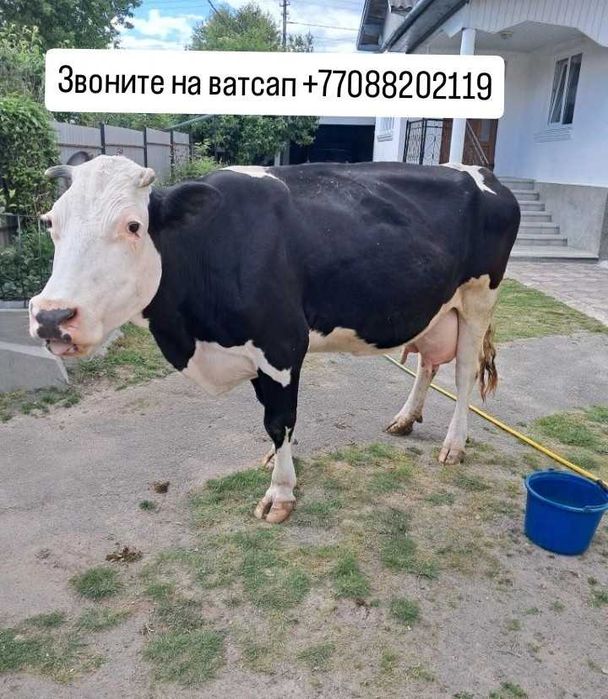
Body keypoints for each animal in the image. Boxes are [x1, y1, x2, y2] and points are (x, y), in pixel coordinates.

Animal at [30, 156, 520, 524]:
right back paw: (405, 418)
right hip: (437, 308)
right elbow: (272, 420)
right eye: (50, 222)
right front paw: (274, 463)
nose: (51, 316)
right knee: (428, 362)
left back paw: (454, 444)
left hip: (479, 299)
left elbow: (278, 420)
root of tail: (483, 173)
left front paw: (280, 492)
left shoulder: (282, 345)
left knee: (464, 374)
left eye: (133, 225)